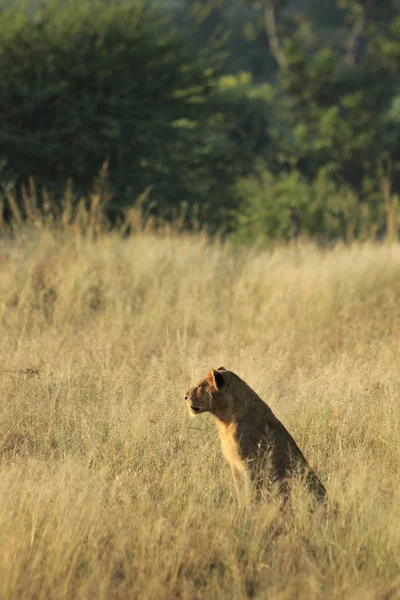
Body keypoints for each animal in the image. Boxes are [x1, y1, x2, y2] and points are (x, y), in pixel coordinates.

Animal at [186, 368, 326, 504]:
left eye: (199, 386)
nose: (185, 396)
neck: (226, 420)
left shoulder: (250, 464)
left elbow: (251, 494)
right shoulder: (234, 466)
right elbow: (240, 491)